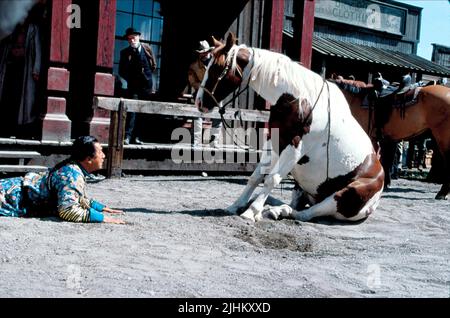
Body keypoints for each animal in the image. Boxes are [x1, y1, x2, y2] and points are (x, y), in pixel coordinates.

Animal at [195, 32, 384, 221]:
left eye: (217, 67)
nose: (199, 102)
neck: (299, 101)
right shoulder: (274, 142)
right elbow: (256, 177)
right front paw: (236, 206)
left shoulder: (295, 148)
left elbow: (272, 179)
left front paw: (251, 212)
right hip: (300, 187)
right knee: (295, 204)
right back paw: (274, 209)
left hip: (345, 196)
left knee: (306, 214)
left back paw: (275, 210)